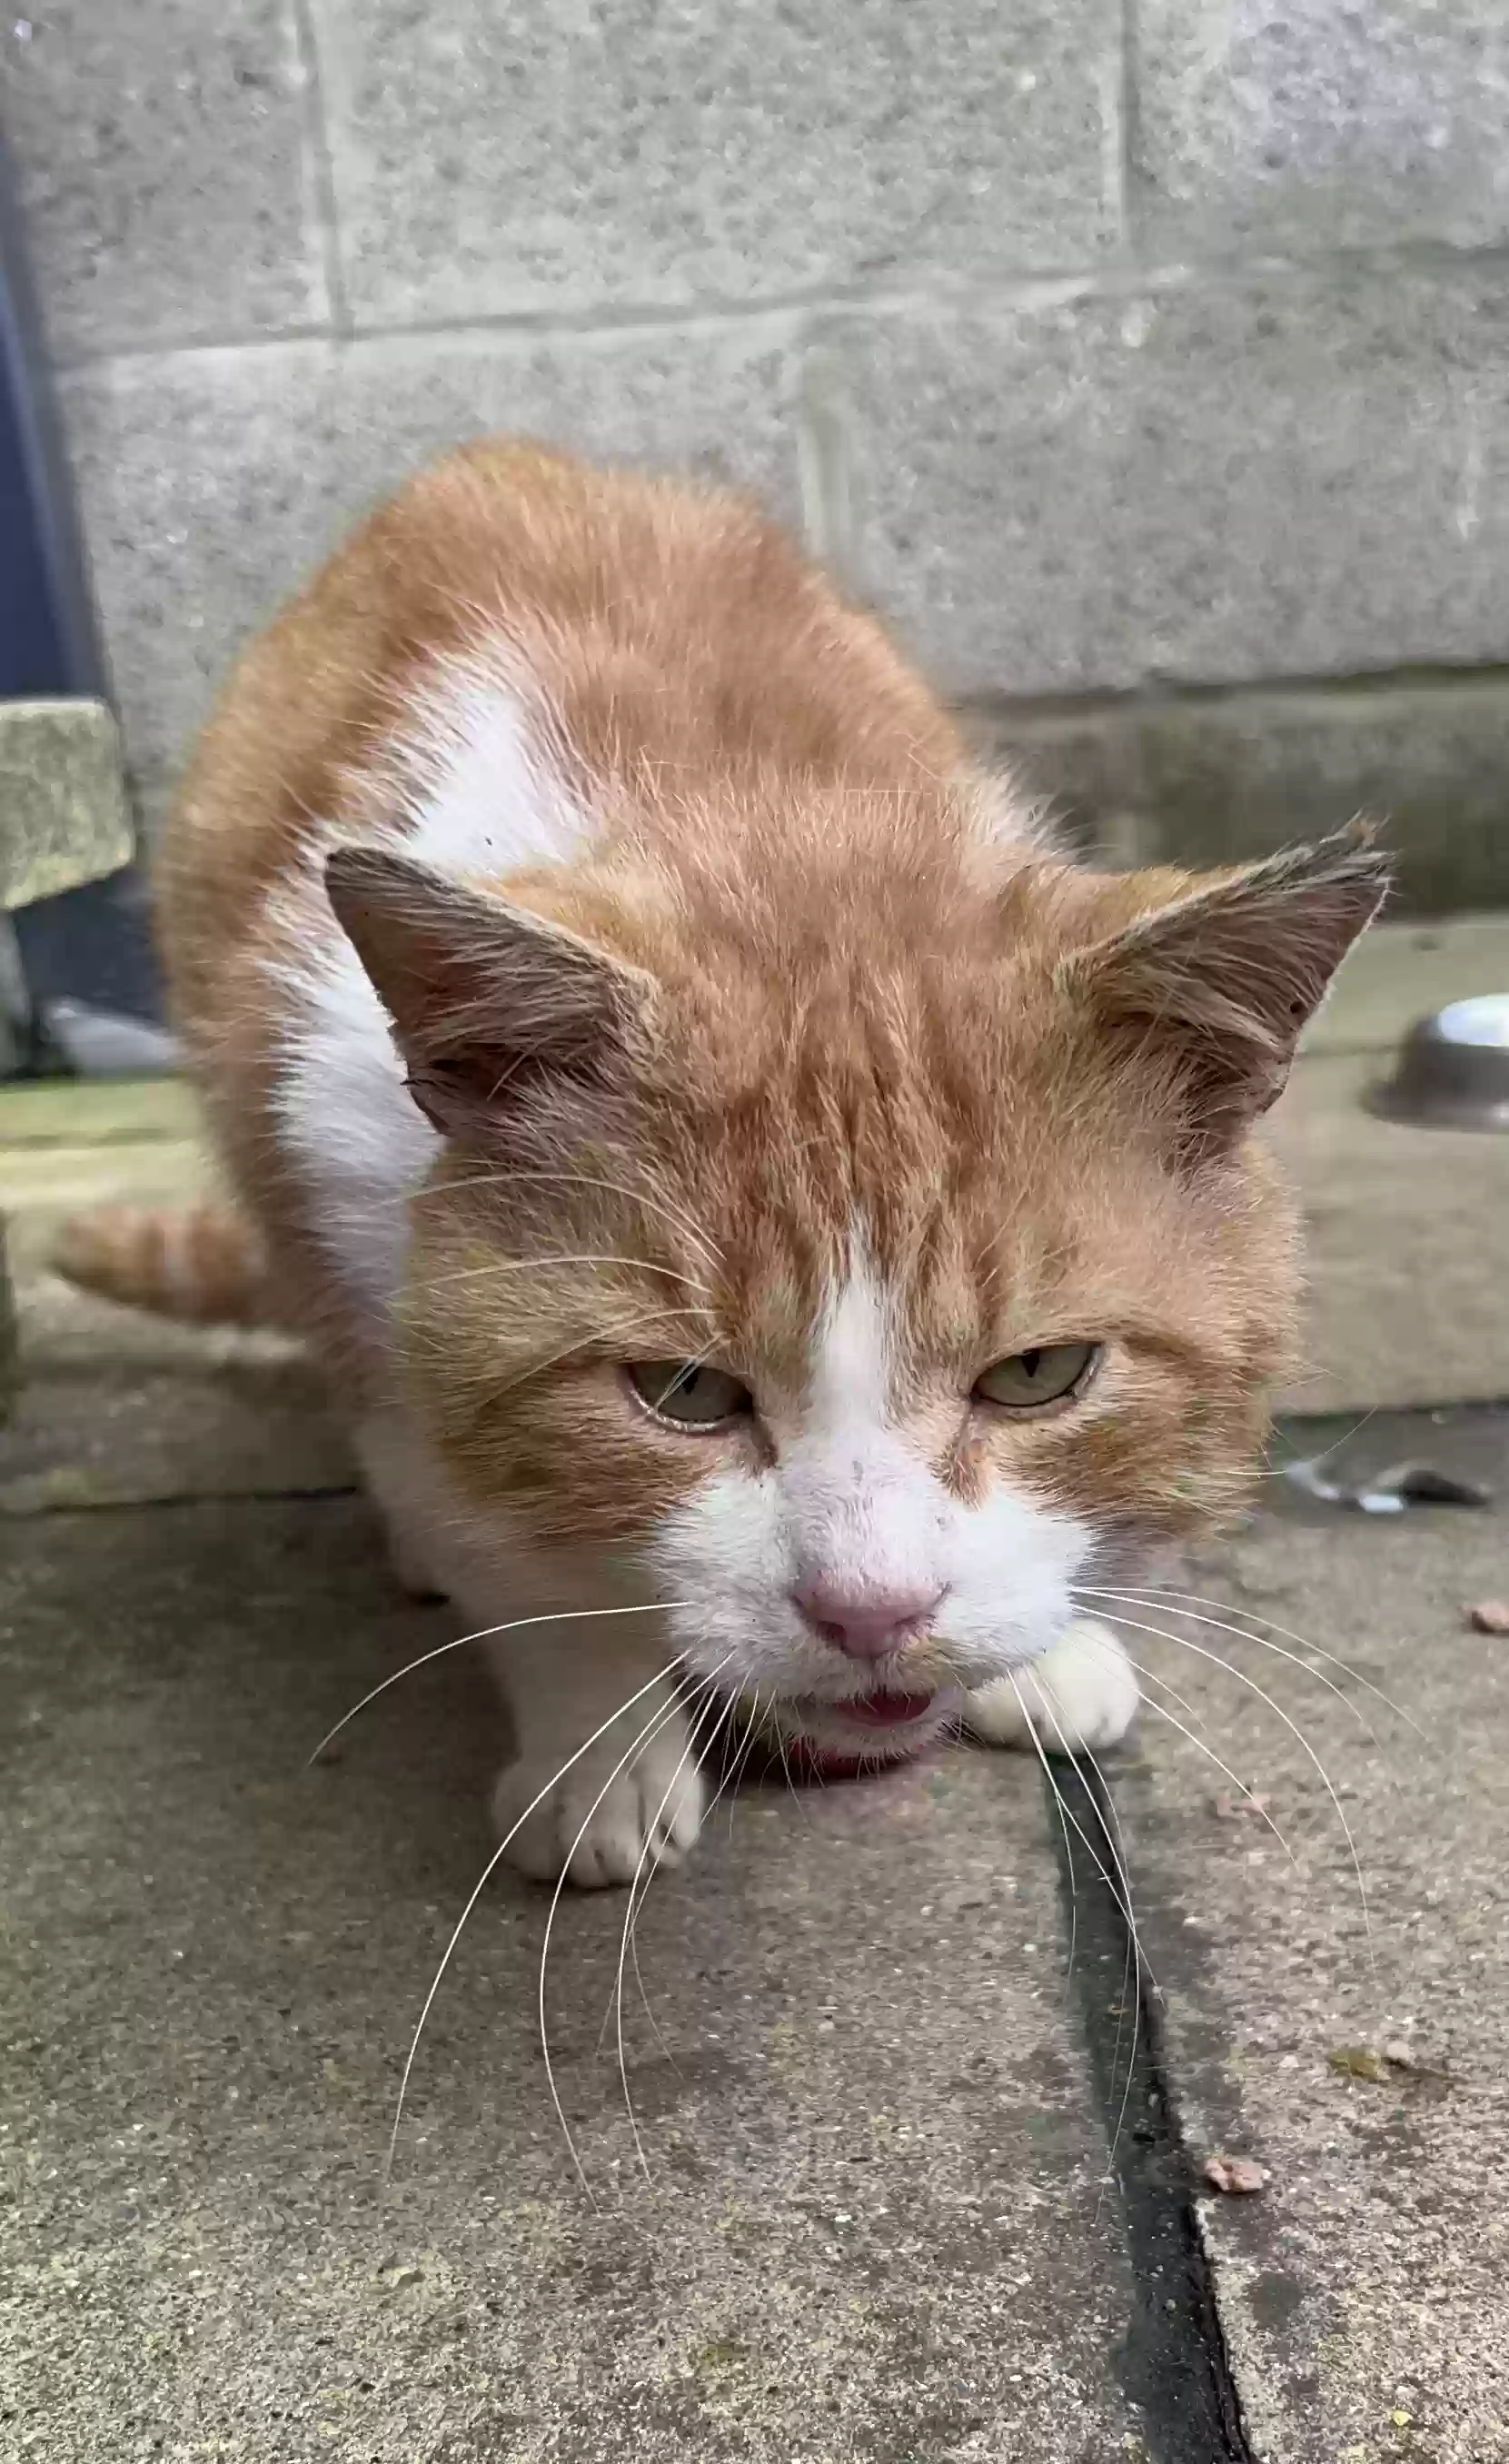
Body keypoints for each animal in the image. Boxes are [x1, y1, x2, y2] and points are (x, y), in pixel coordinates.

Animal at [55, 443, 1380, 1882]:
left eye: (1041, 1373)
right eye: (682, 1391)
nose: (872, 1612)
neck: (741, 819)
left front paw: (1049, 1648)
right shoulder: (344, 1196)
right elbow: (502, 1543)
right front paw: (597, 1752)